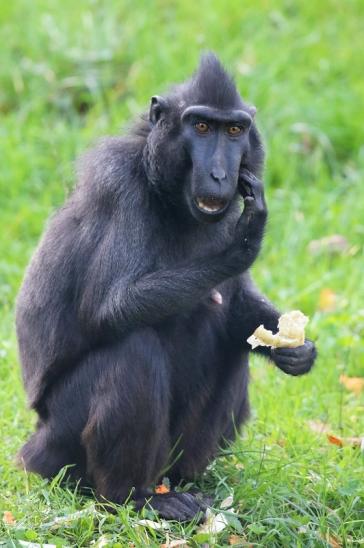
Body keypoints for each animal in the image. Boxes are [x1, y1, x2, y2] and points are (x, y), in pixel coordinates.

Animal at [15, 53, 314, 520]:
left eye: (234, 130)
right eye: (201, 127)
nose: (219, 174)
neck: (169, 195)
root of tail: (33, 450)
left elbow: (236, 309)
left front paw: (297, 350)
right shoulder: (120, 186)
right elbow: (110, 307)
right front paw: (244, 243)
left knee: (230, 346)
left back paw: (186, 482)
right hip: (58, 443)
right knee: (132, 350)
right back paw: (134, 497)